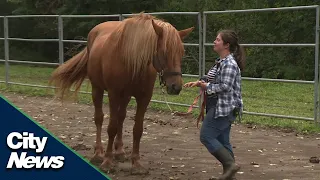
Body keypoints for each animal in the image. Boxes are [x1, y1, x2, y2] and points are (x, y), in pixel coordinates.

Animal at [49, 13, 194, 174]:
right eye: (164, 52)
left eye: (181, 53)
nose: (176, 87)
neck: (131, 59)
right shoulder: (113, 94)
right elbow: (111, 127)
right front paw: (107, 161)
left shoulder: (144, 98)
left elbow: (137, 129)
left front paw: (136, 163)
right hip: (97, 89)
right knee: (99, 118)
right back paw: (98, 154)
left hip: (125, 96)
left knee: (121, 117)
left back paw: (119, 152)